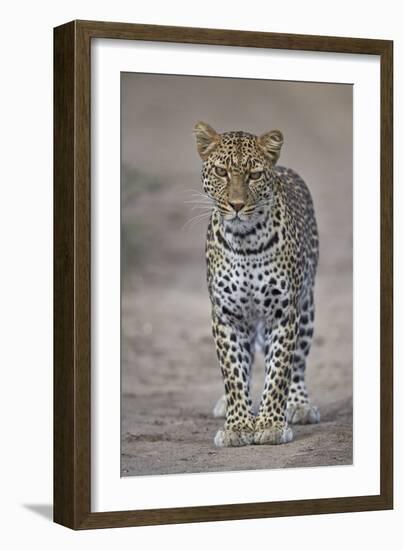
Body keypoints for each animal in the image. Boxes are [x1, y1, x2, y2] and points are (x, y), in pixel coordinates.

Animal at [194, 122, 320, 448]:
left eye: (254, 175)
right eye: (222, 171)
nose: (237, 205)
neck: (245, 240)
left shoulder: (284, 314)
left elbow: (279, 373)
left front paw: (271, 424)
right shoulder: (226, 316)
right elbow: (233, 373)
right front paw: (238, 425)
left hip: (307, 306)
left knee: (298, 364)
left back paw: (299, 405)